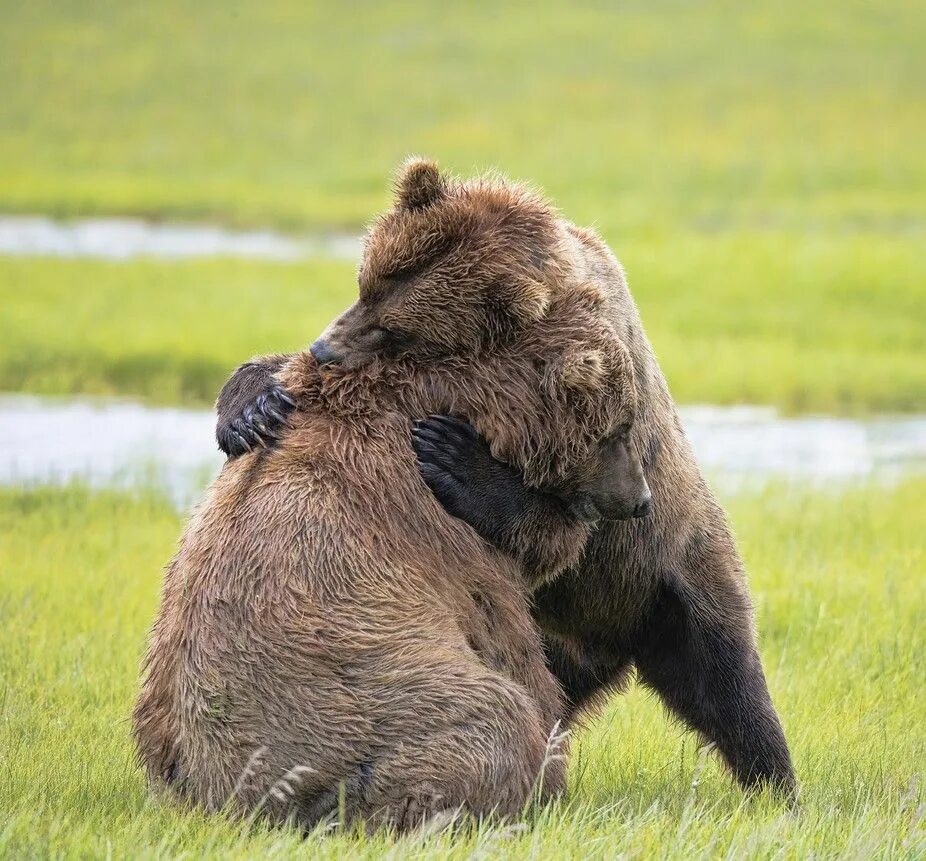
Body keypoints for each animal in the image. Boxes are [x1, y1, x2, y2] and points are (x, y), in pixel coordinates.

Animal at [130, 158, 656, 828]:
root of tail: (212, 792)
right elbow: (512, 637)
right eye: (617, 429)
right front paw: (550, 765)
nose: (637, 499)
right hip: (351, 715)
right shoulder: (435, 523)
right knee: (482, 721)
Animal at [218, 160, 796, 792]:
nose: (324, 347)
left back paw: (776, 783)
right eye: (365, 284)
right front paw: (252, 408)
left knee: (728, 680)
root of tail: (611, 638)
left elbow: (561, 524)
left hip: (670, 571)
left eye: (398, 330)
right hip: (559, 633)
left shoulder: (600, 440)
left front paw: (458, 462)